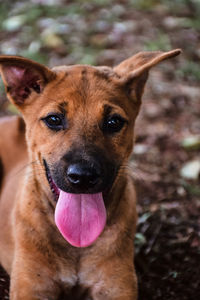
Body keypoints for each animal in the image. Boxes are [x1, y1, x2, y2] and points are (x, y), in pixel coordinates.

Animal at [0, 48, 181, 298]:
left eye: (114, 122)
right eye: (54, 119)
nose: (83, 177)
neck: (76, 244)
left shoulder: (116, 288)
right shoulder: (31, 288)